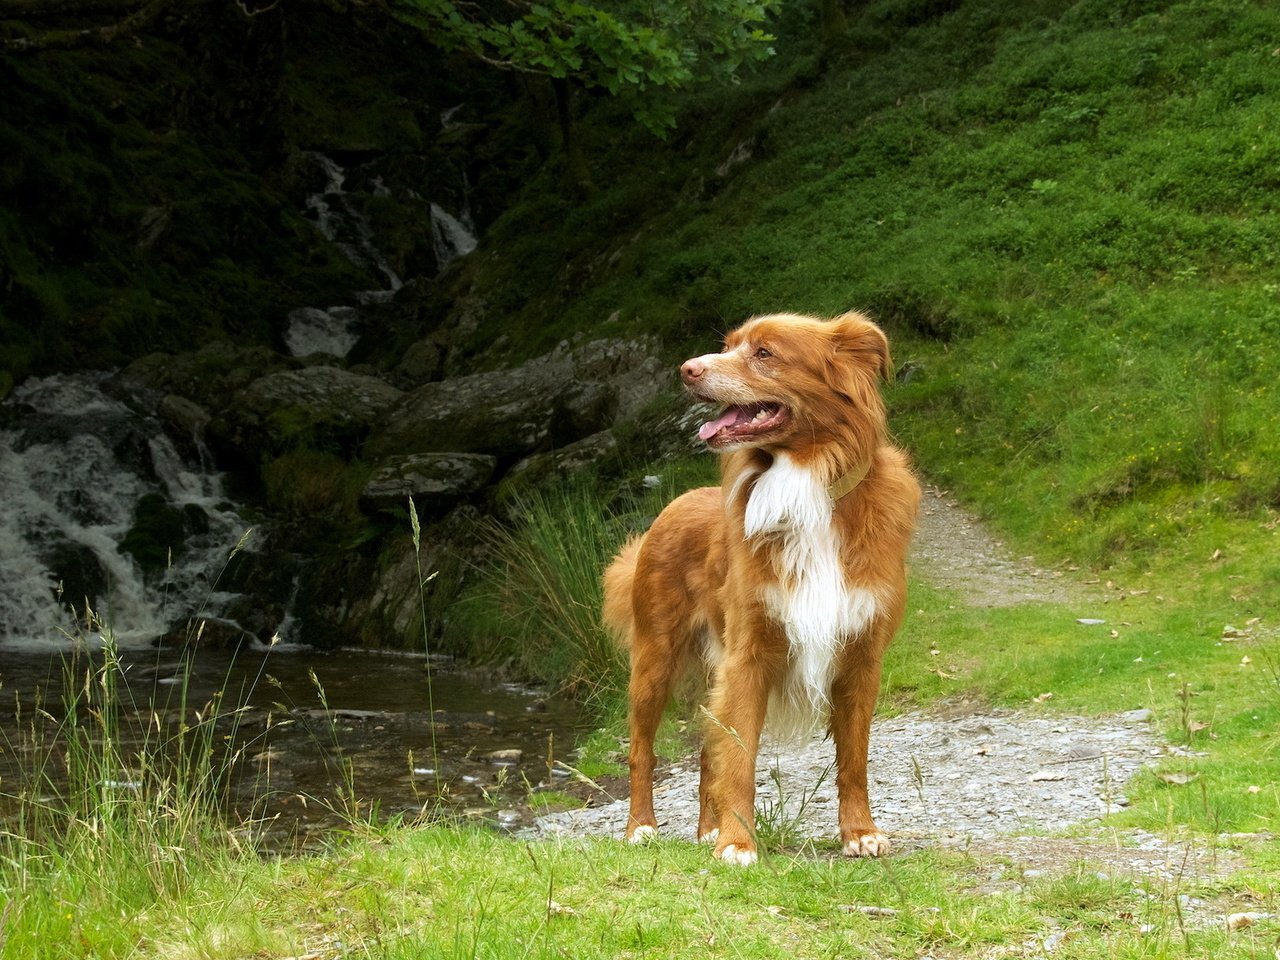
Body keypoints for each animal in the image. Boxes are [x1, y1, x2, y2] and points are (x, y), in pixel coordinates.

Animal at [601, 313, 921, 865]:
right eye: (728, 346)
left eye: (765, 353)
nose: (687, 369)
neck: (807, 484)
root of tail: (673, 505)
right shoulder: (748, 653)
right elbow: (740, 754)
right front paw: (737, 842)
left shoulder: (862, 654)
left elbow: (854, 758)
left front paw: (859, 832)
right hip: (654, 659)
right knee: (643, 750)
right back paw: (641, 828)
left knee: (706, 747)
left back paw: (705, 828)